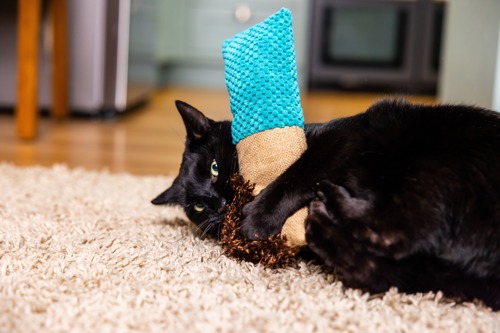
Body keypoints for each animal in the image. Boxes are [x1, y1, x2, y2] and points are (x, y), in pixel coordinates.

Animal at [152, 98, 500, 308]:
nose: (219, 203)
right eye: (198, 207)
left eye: (214, 167)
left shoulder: (341, 139)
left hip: (429, 166)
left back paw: (325, 206)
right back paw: (321, 223)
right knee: (383, 264)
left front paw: (256, 219)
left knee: (399, 230)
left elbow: (297, 173)